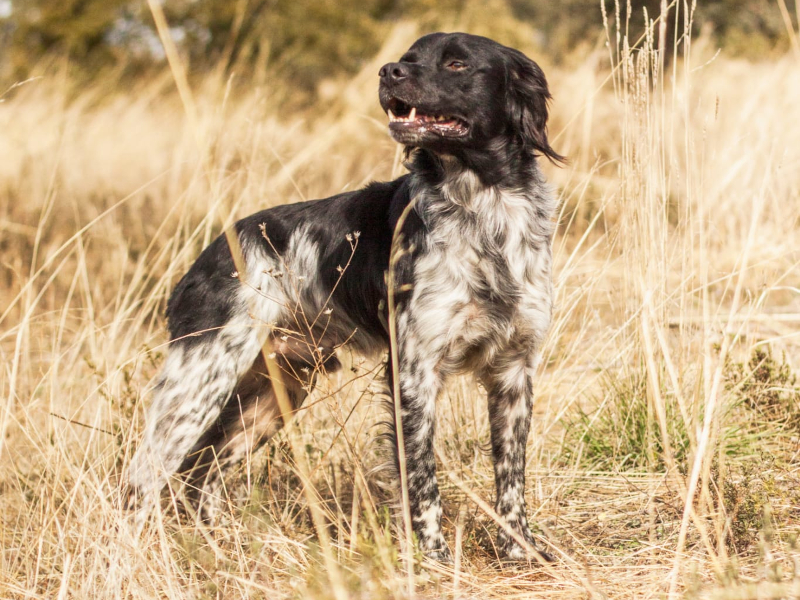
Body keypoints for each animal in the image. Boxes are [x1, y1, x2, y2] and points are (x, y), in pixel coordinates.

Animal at [127, 32, 563, 562]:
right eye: (410, 59)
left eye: (457, 64)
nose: (389, 71)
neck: (485, 207)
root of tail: (207, 255)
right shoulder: (414, 371)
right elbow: (421, 478)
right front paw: (432, 556)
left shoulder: (515, 369)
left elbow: (511, 475)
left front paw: (521, 551)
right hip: (200, 380)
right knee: (143, 476)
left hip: (273, 393)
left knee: (205, 473)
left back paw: (219, 546)